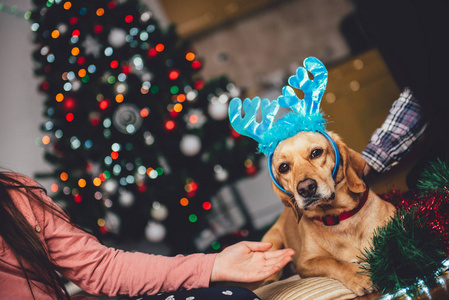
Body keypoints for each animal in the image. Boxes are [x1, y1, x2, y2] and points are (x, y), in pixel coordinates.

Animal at [260, 131, 394, 296]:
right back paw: (269, 281)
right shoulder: (305, 262)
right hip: (271, 241)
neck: (339, 217)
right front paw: (360, 277)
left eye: (316, 152)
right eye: (283, 167)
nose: (306, 188)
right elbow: (333, 262)